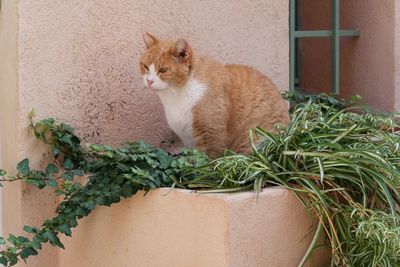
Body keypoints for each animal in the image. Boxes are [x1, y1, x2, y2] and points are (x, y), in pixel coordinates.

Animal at [139, 32, 290, 157]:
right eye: (145, 67)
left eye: (163, 70)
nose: (149, 80)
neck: (177, 95)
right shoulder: (189, 140)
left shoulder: (212, 136)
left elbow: (207, 165)